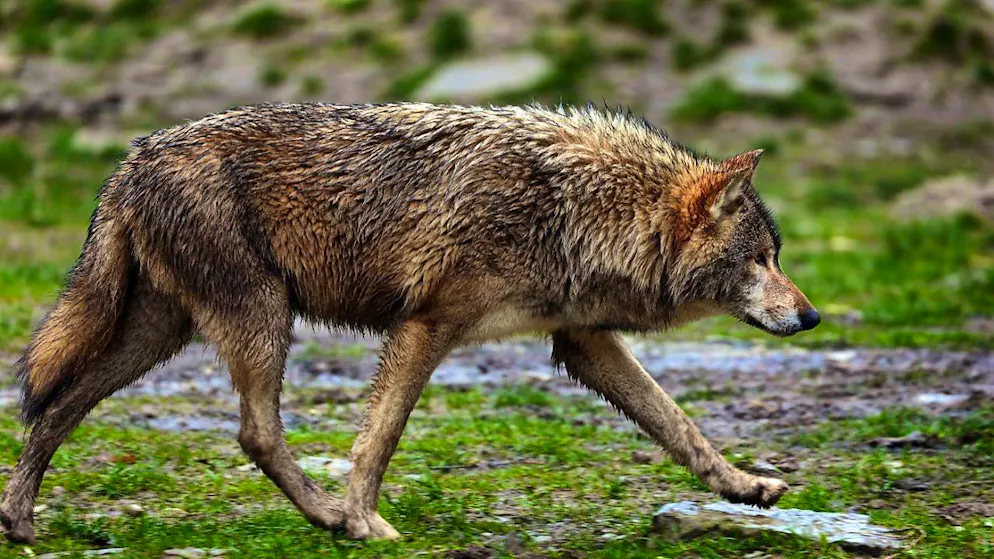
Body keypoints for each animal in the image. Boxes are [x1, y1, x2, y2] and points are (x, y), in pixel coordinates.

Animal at [1, 103, 819, 543]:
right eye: (763, 258)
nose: (812, 315)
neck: (578, 209)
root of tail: (128, 160)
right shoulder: (427, 325)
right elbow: (380, 438)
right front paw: (365, 522)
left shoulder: (582, 342)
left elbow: (680, 424)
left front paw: (746, 486)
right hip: (261, 319)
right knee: (254, 433)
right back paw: (330, 517)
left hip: (162, 334)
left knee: (57, 405)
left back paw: (20, 521)